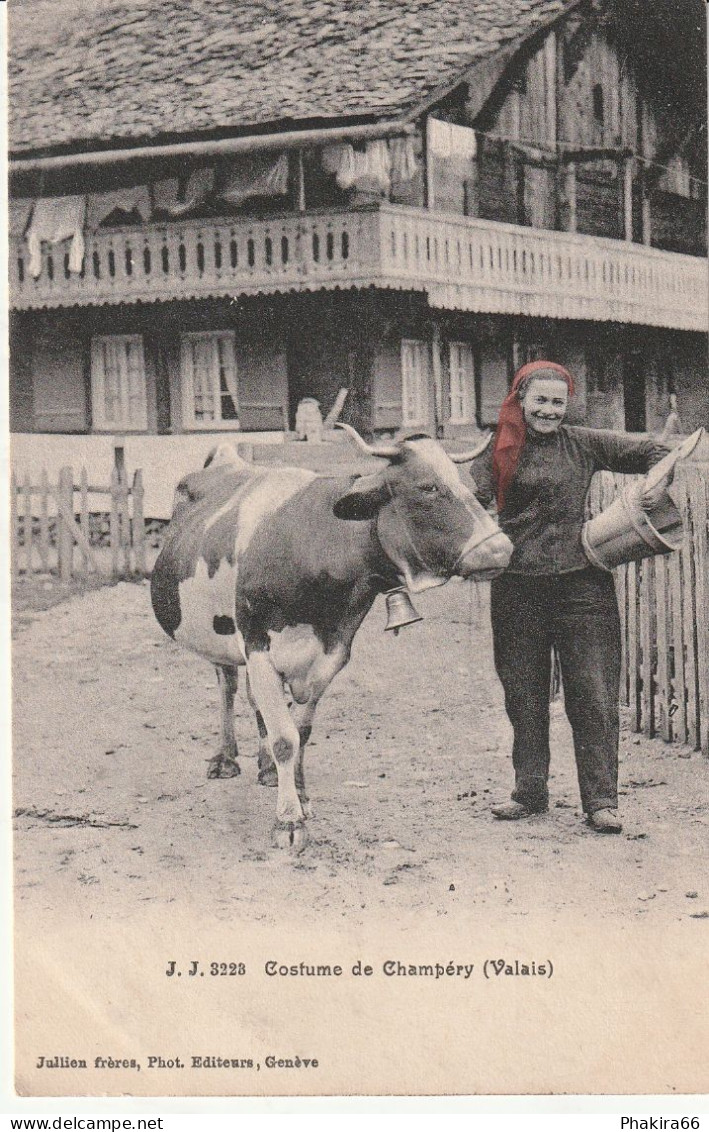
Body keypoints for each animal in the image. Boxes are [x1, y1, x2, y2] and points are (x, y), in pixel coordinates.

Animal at [151, 425, 509, 851]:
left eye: (467, 485)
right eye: (427, 488)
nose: (500, 549)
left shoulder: (333, 651)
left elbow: (300, 732)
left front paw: (299, 792)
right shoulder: (257, 644)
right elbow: (285, 737)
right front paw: (288, 821)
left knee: (254, 700)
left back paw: (266, 768)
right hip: (218, 633)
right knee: (227, 686)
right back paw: (225, 758)